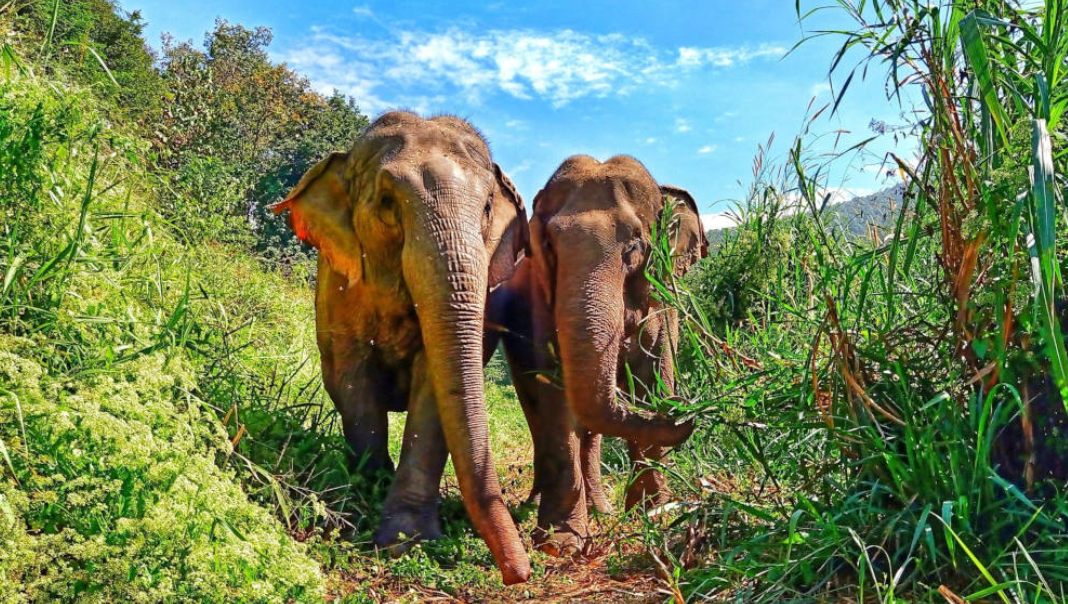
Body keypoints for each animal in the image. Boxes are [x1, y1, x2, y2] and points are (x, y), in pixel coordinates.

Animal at [271, 111, 532, 585]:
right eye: (388, 202)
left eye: (487, 208)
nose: (519, 574)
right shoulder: (338, 285)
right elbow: (351, 379)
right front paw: (367, 499)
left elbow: (433, 391)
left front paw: (405, 542)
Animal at [487, 155, 708, 554]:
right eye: (549, 244)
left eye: (635, 243)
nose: (684, 407)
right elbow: (554, 398)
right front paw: (559, 543)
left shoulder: (665, 301)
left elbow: (655, 373)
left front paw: (653, 514)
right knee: (539, 413)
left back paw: (601, 510)